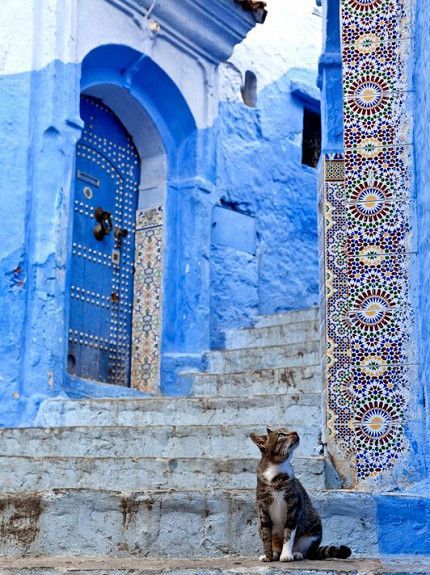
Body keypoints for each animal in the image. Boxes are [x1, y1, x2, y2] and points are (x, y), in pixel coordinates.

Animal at [250, 428, 352, 564]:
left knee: (306, 551)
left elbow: (289, 533)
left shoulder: (293, 507)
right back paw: (276, 553)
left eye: (287, 430)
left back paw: (296, 553)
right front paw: (268, 555)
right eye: (281, 435)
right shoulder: (263, 508)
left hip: (314, 525)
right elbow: (266, 535)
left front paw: (286, 555)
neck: (276, 473)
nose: (295, 432)